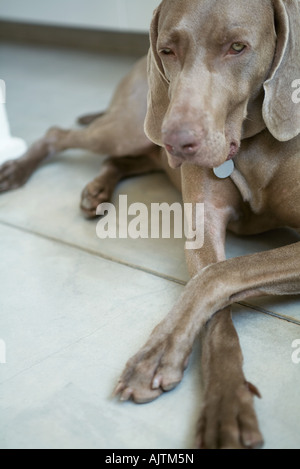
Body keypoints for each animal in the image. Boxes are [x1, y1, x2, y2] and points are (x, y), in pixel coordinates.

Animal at [0, 0, 300, 448]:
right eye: (167, 50)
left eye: (237, 47)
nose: (177, 140)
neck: (252, 141)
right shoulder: (201, 231)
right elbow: (213, 294)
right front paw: (221, 402)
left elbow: (219, 276)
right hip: (133, 126)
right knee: (60, 133)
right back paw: (20, 171)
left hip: (145, 140)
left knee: (123, 159)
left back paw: (97, 189)